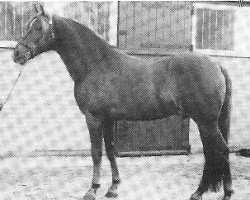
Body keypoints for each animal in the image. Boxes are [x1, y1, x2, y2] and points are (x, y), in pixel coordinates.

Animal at [13, 5, 232, 200]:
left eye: (38, 27)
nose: (17, 54)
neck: (96, 65)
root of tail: (216, 64)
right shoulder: (109, 119)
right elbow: (111, 151)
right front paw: (113, 188)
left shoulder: (94, 118)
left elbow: (96, 152)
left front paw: (92, 190)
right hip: (204, 123)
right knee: (211, 153)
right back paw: (198, 193)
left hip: (206, 122)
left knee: (221, 150)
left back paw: (224, 193)